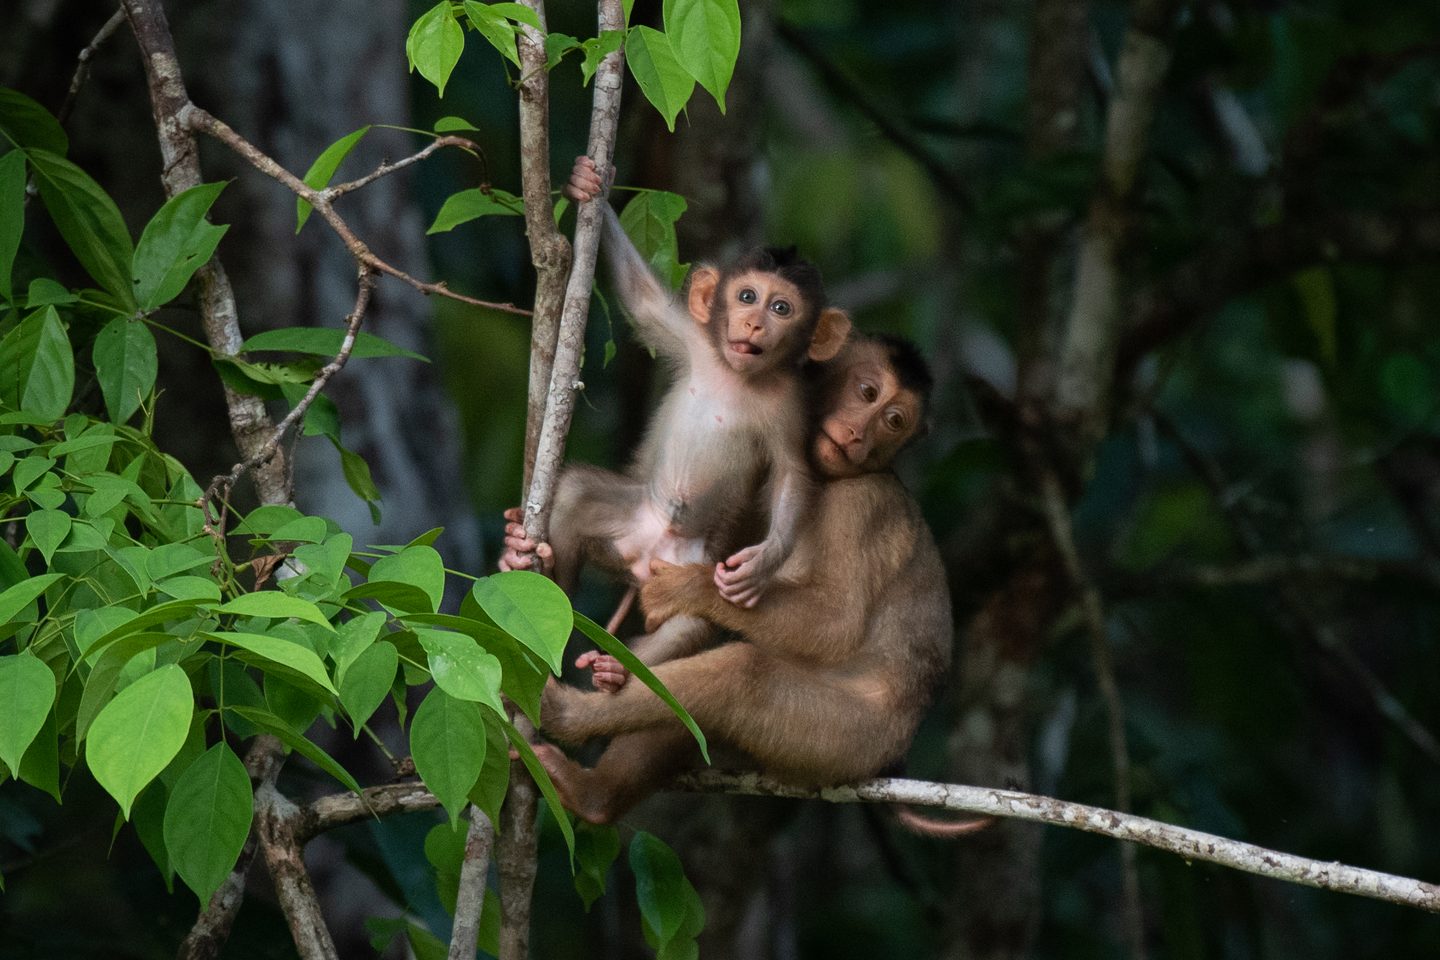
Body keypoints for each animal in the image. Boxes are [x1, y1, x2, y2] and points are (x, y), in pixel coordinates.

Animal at [499, 157, 851, 615]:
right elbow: (642, 299)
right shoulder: (692, 339)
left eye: (780, 308)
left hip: (695, 568)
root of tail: (643, 562)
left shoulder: (790, 403)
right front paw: (590, 187)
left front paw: (766, 559)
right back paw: (536, 566)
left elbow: (792, 469)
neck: (733, 374)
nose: (754, 324)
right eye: (747, 296)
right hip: (631, 517)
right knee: (575, 493)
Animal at [517, 333, 986, 835]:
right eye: (868, 393)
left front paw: (689, 588)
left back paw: (565, 715)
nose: (861, 434)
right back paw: (595, 795)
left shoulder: (863, 503)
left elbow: (837, 622)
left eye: (894, 422)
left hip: (847, 737)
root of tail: (894, 755)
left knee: (743, 677)